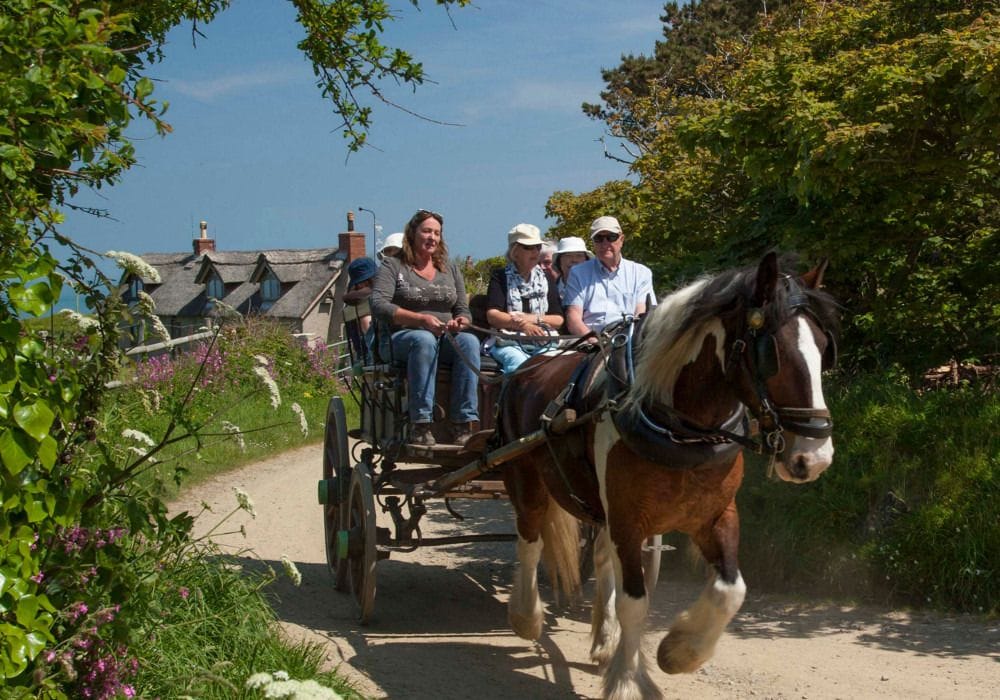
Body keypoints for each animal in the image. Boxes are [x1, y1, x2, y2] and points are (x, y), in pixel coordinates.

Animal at [498, 253, 836, 700]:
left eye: (823, 348)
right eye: (773, 353)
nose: (815, 457)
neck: (682, 427)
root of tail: (531, 365)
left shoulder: (715, 515)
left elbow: (731, 591)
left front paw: (678, 653)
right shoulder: (628, 521)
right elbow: (634, 602)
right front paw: (627, 680)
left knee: (598, 558)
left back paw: (604, 641)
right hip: (526, 479)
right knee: (530, 539)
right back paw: (526, 618)